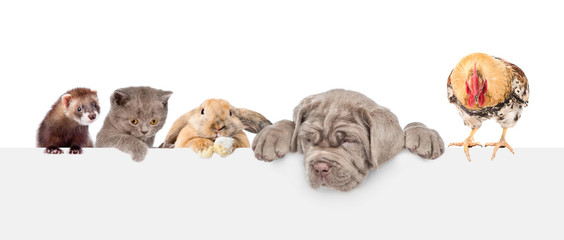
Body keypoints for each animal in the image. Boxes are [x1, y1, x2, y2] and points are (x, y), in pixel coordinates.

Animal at [253, 89, 442, 192]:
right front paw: (272, 134)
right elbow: (291, 124)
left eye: (348, 141)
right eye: (308, 139)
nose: (320, 167)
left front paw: (425, 135)